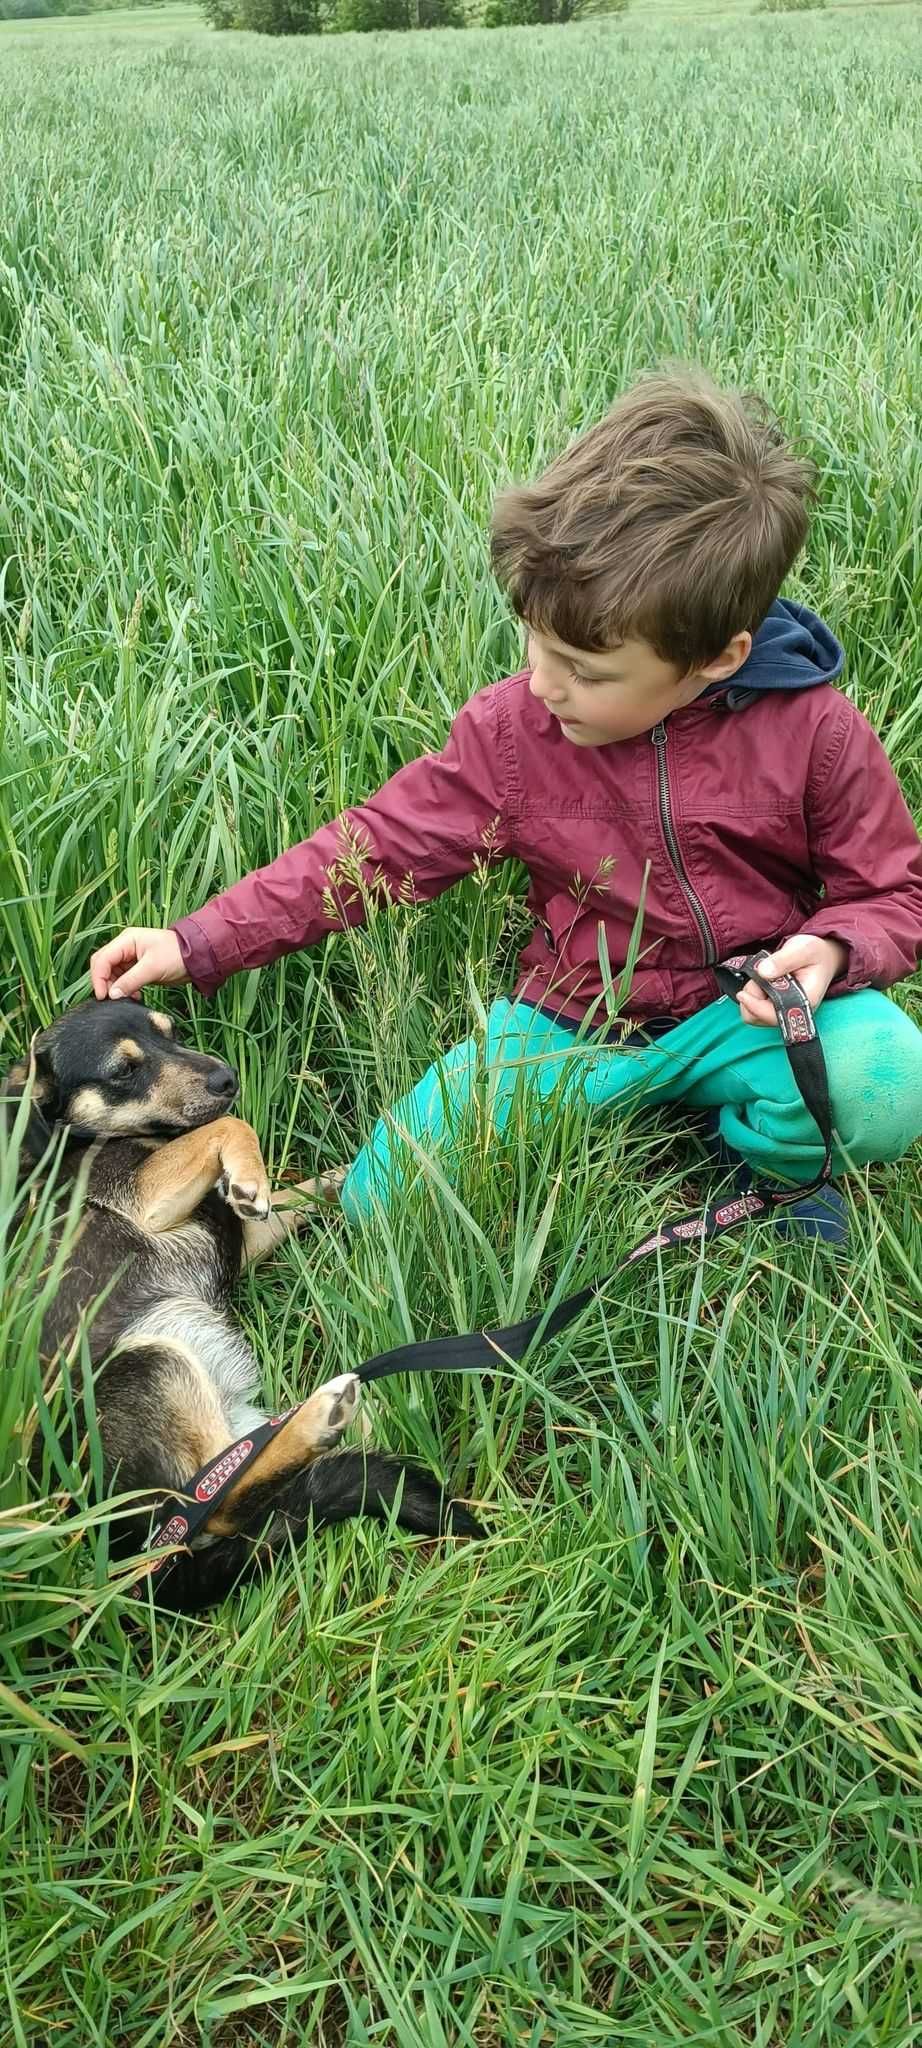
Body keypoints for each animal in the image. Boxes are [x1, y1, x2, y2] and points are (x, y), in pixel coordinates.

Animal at [5, 1003, 483, 1613]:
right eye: (122, 1071)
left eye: (171, 1033)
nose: (226, 1078)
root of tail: (139, 1566)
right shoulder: (146, 1197)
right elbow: (228, 1127)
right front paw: (250, 1168)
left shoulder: (244, 1233)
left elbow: (300, 1192)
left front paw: (349, 1174)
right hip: (148, 1364)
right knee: (218, 1509)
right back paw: (319, 1419)